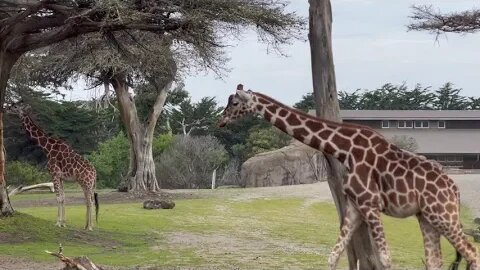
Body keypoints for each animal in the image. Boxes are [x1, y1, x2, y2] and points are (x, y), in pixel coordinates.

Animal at [7, 102, 98, 231]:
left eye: (15, 106)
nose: (7, 108)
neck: (47, 148)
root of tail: (95, 173)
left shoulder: (54, 173)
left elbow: (58, 198)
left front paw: (58, 223)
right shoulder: (61, 177)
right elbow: (63, 197)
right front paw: (63, 223)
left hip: (87, 182)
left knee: (90, 201)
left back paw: (89, 227)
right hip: (87, 183)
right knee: (89, 200)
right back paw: (87, 226)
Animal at [218, 83, 480, 268]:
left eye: (234, 102)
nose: (220, 120)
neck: (344, 150)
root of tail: (455, 189)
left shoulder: (371, 204)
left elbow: (385, 259)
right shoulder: (355, 207)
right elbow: (333, 256)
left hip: (443, 215)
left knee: (472, 254)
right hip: (426, 216)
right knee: (436, 260)